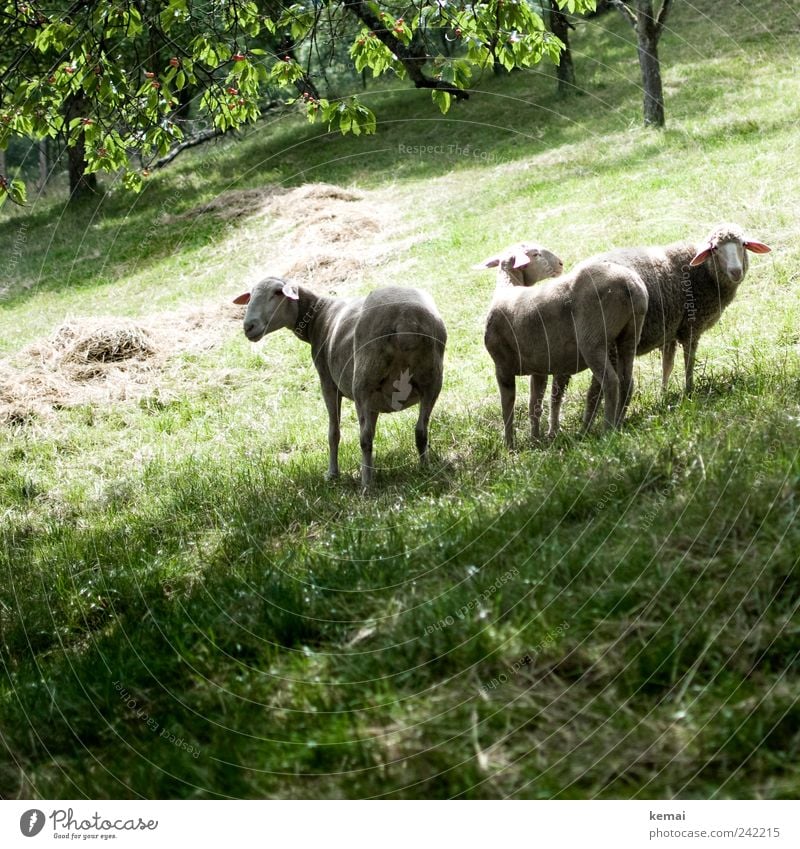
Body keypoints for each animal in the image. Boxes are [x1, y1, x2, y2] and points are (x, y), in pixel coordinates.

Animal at [234, 278, 446, 486]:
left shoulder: (328, 382)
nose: (248, 327)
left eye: (277, 293)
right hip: (432, 380)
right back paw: (425, 470)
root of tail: (405, 321)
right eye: (250, 296)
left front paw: (333, 474)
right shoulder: (375, 401)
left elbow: (333, 433)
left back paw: (366, 485)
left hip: (363, 381)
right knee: (420, 431)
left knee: (365, 438)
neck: (318, 317)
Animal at [482, 247, 648, 448]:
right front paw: (535, 440)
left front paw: (510, 446)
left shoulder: (502, 367)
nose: (561, 263)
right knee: (626, 381)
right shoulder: (539, 368)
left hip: (593, 340)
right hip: (629, 335)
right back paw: (618, 424)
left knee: (610, 382)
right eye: (535, 254)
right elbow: (534, 405)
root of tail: (630, 284)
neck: (508, 288)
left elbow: (507, 408)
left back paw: (608, 431)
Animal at [580, 224, 772, 428]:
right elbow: (689, 363)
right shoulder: (691, 328)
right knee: (596, 389)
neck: (702, 273)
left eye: (743, 244)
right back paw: (590, 427)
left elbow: (667, 365)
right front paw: (689, 392)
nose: (736, 271)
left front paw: (663, 395)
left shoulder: (669, 331)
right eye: (715, 248)